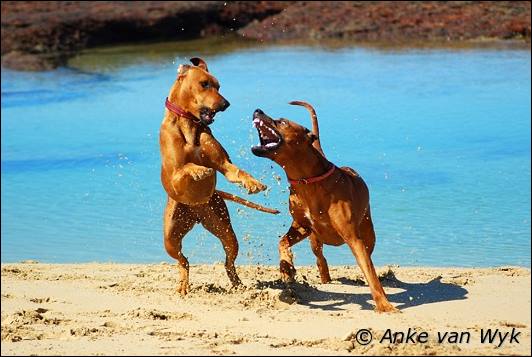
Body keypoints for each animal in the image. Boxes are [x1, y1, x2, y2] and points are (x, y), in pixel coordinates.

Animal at [161, 57, 280, 294]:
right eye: (204, 84)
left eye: (219, 86)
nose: (226, 104)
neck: (189, 122)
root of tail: (196, 214)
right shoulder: (174, 175)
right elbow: (186, 168)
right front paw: (200, 170)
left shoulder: (225, 164)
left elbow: (236, 171)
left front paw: (253, 183)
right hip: (170, 237)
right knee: (182, 260)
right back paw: (184, 285)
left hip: (224, 228)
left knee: (228, 262)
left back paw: (238, 286)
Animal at [251, 101, 396, 310]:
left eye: (282, 121)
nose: (257, 110)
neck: (308, 182)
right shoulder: (302, 226)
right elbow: (282, 242)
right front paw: (286, 268)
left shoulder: (353, 238)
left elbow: (369, 270)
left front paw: (384, 305)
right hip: (315, 238)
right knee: (320, 256)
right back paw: (324, 276)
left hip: (368, 233)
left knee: (367, 252)